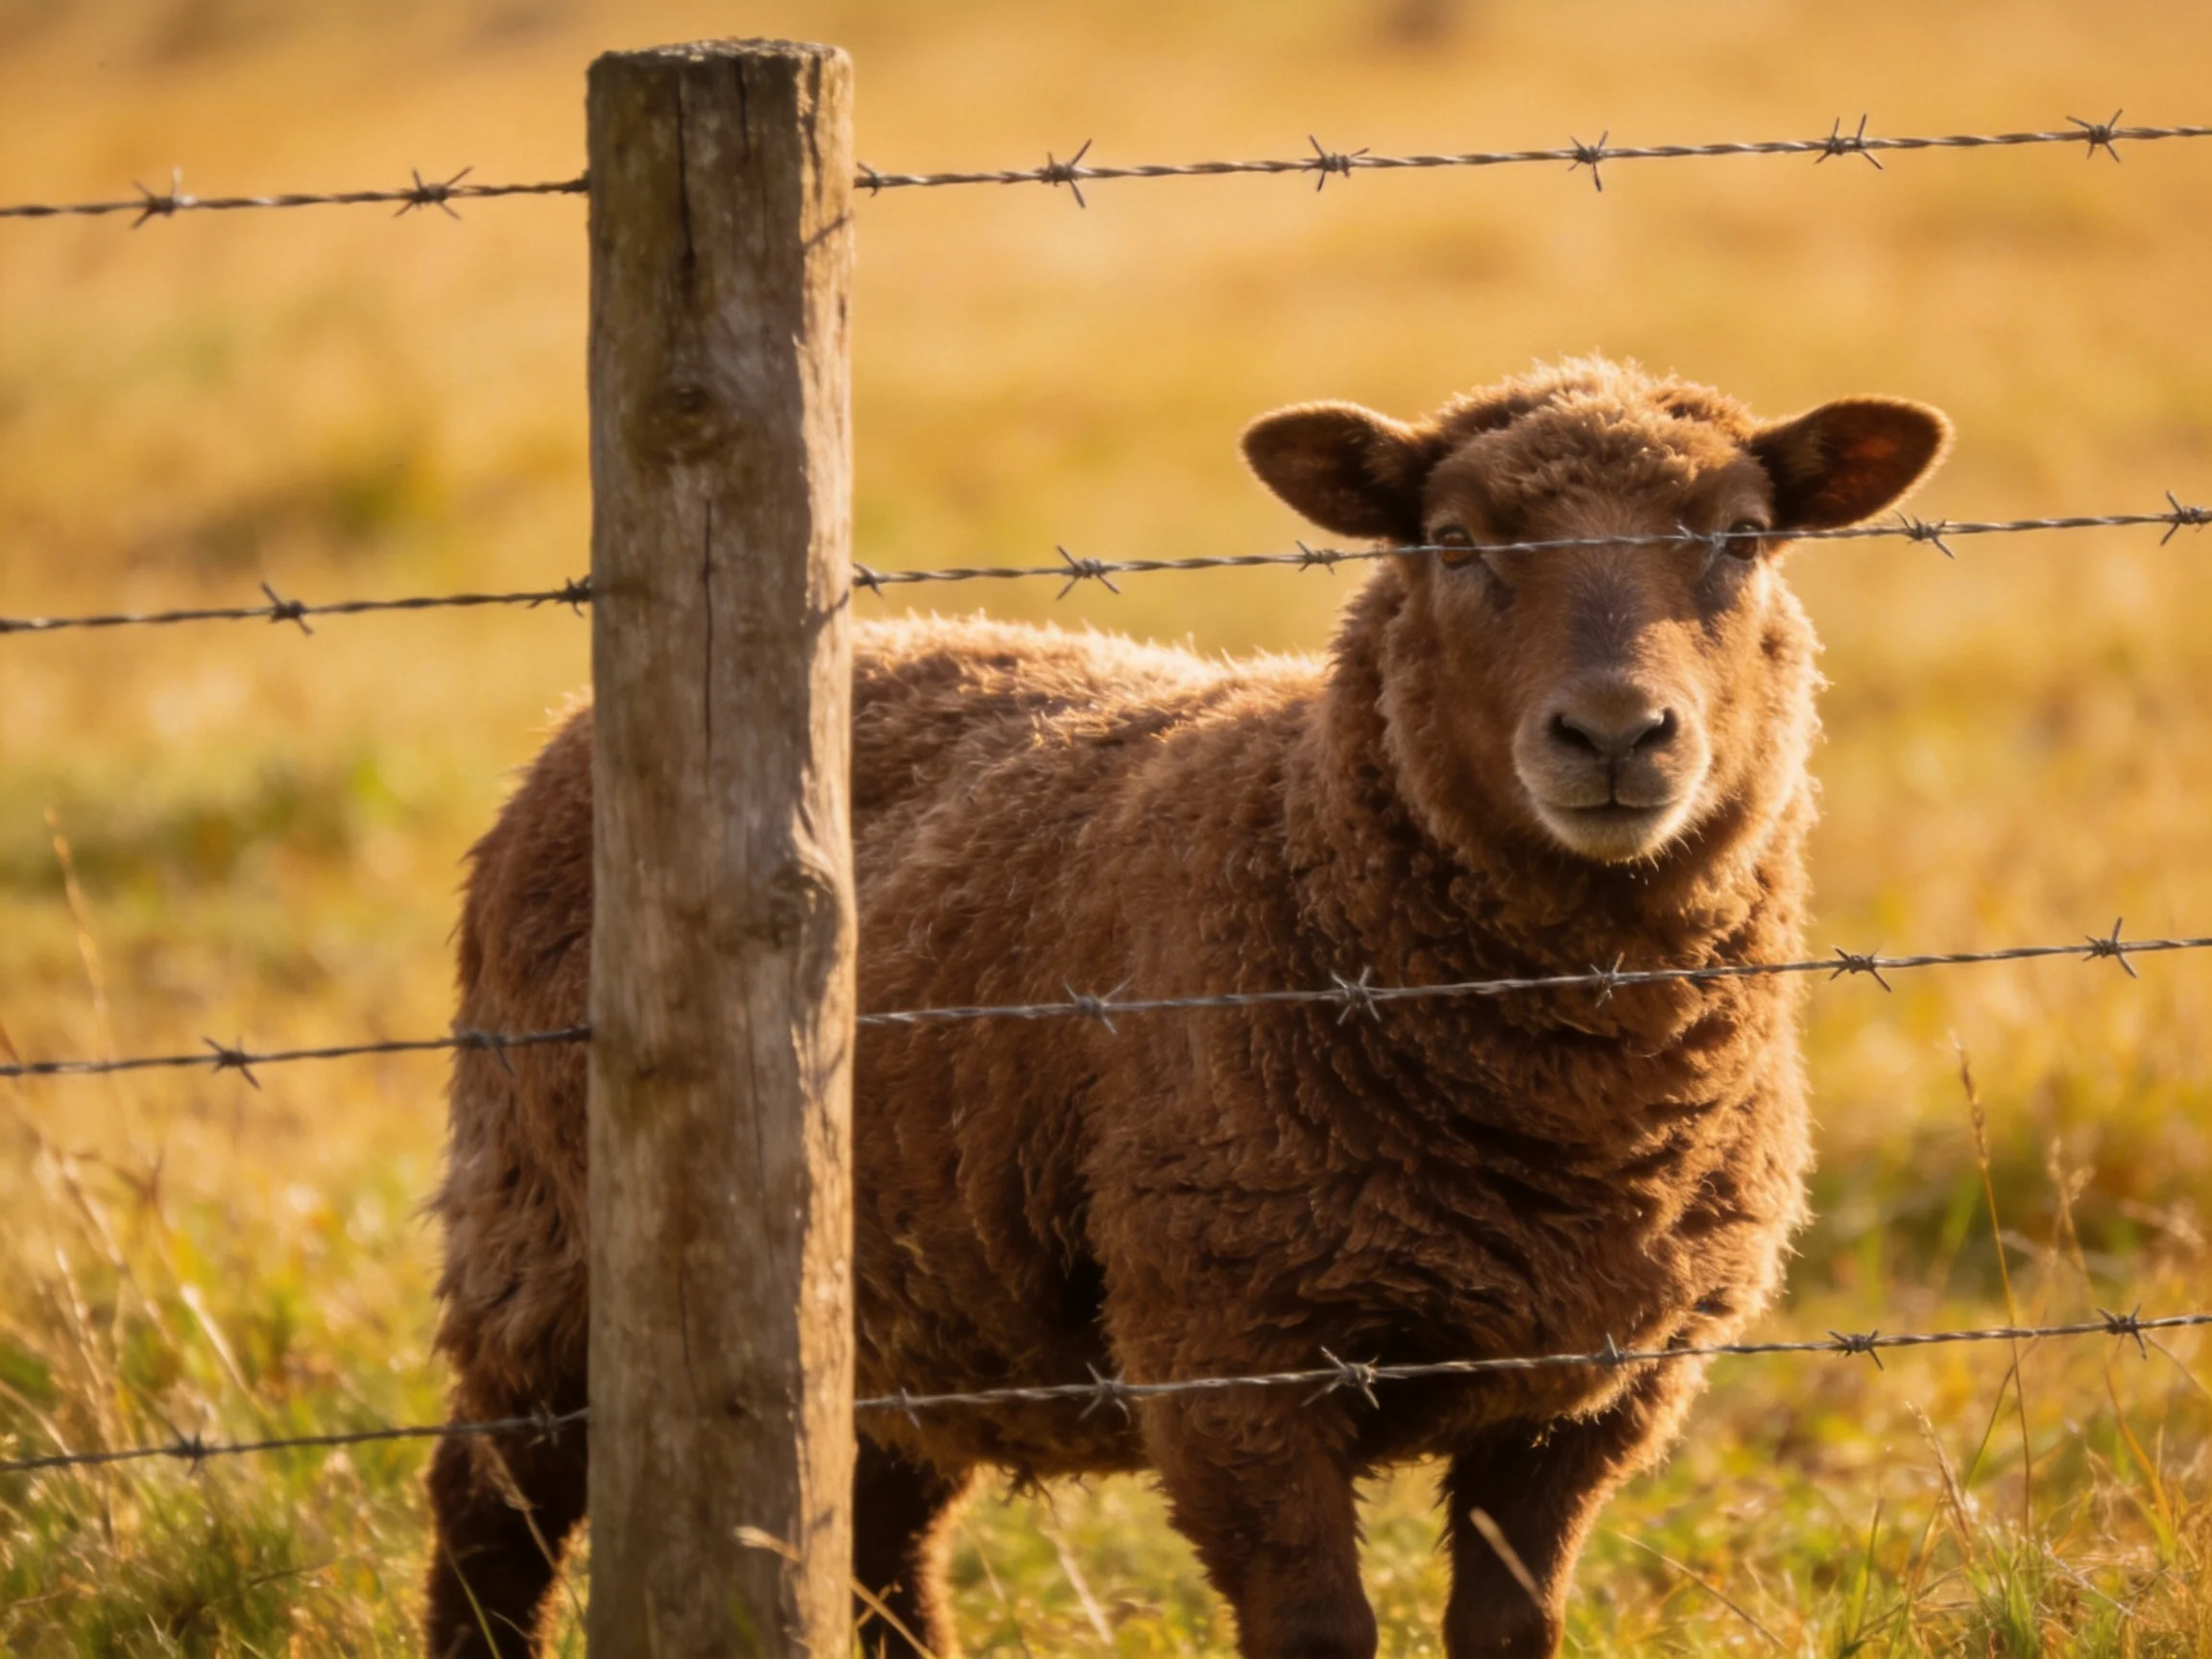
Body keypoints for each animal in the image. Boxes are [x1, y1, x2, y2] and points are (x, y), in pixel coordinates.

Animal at [421, 356, 1949, 1659]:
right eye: (1453, 541)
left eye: (1744, 535)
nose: (1619, 736)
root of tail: (560, 737)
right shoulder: (1226, 1358)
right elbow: (1318, 1631)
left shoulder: (1599, 1394)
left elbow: (1513, 1627)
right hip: (544, 1232)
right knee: (491, 1501)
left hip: (908, 1294)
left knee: (879, 1528)